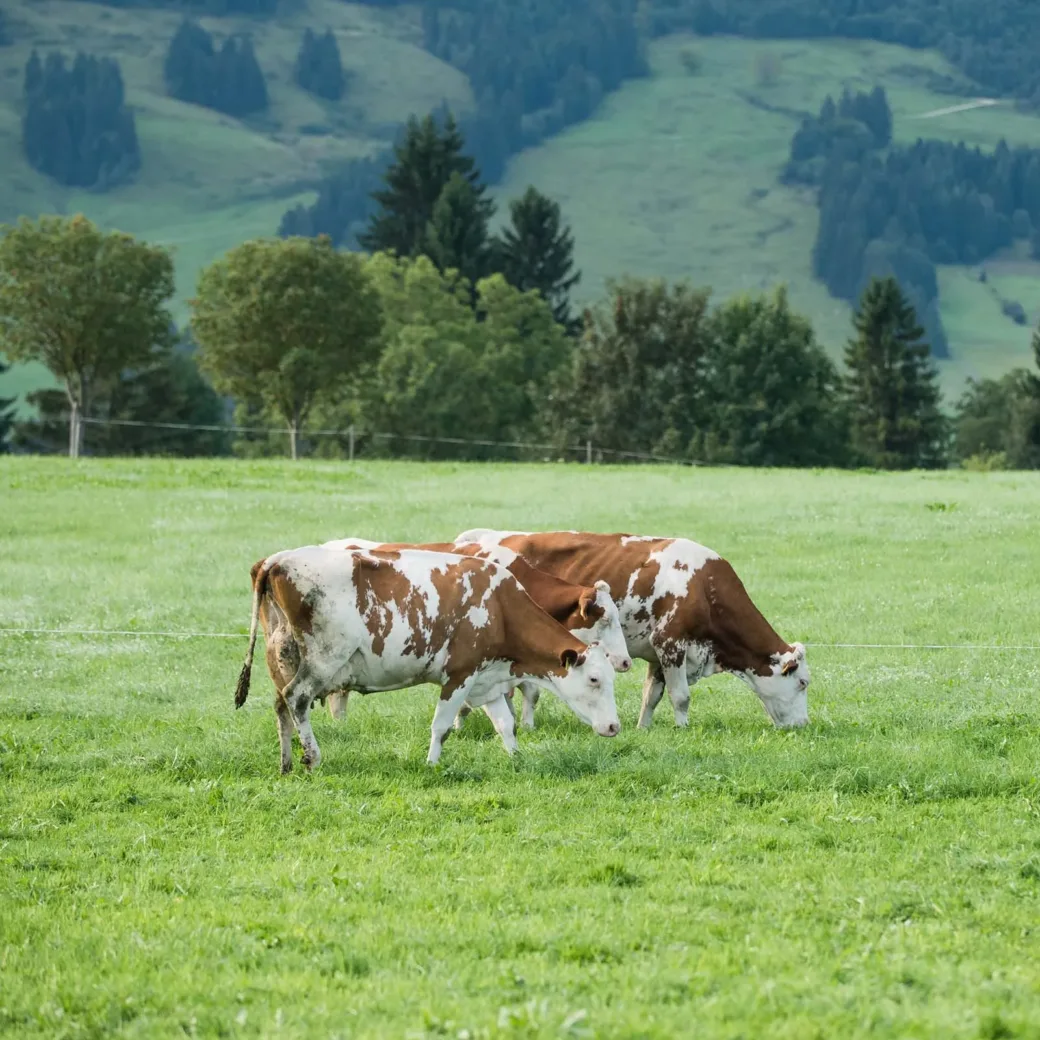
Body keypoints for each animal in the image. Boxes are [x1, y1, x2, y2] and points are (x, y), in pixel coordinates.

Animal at [451, 528, 807, 732]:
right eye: (803, 683)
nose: (803, 725)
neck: (702, 587)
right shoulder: (671, 644)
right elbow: (681, 697)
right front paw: (682, 729)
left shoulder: (658, 654)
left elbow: (652, 695)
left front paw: (643, 728)